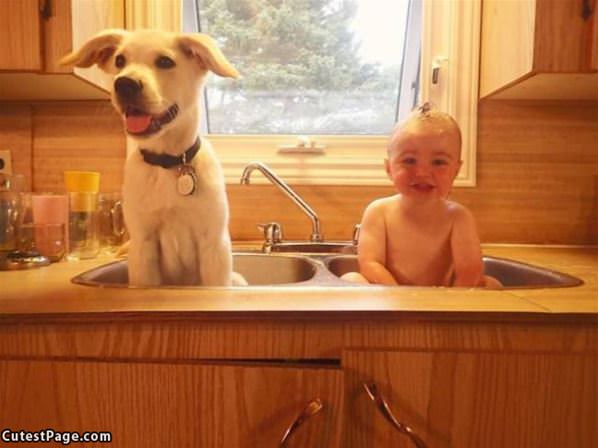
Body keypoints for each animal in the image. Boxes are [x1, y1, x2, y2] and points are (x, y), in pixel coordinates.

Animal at [61, 28, 239, 288]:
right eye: (120, 61)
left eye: (165, 62)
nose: (124, 84)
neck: (168, 163)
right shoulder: (143, 245)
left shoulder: (213, 244)